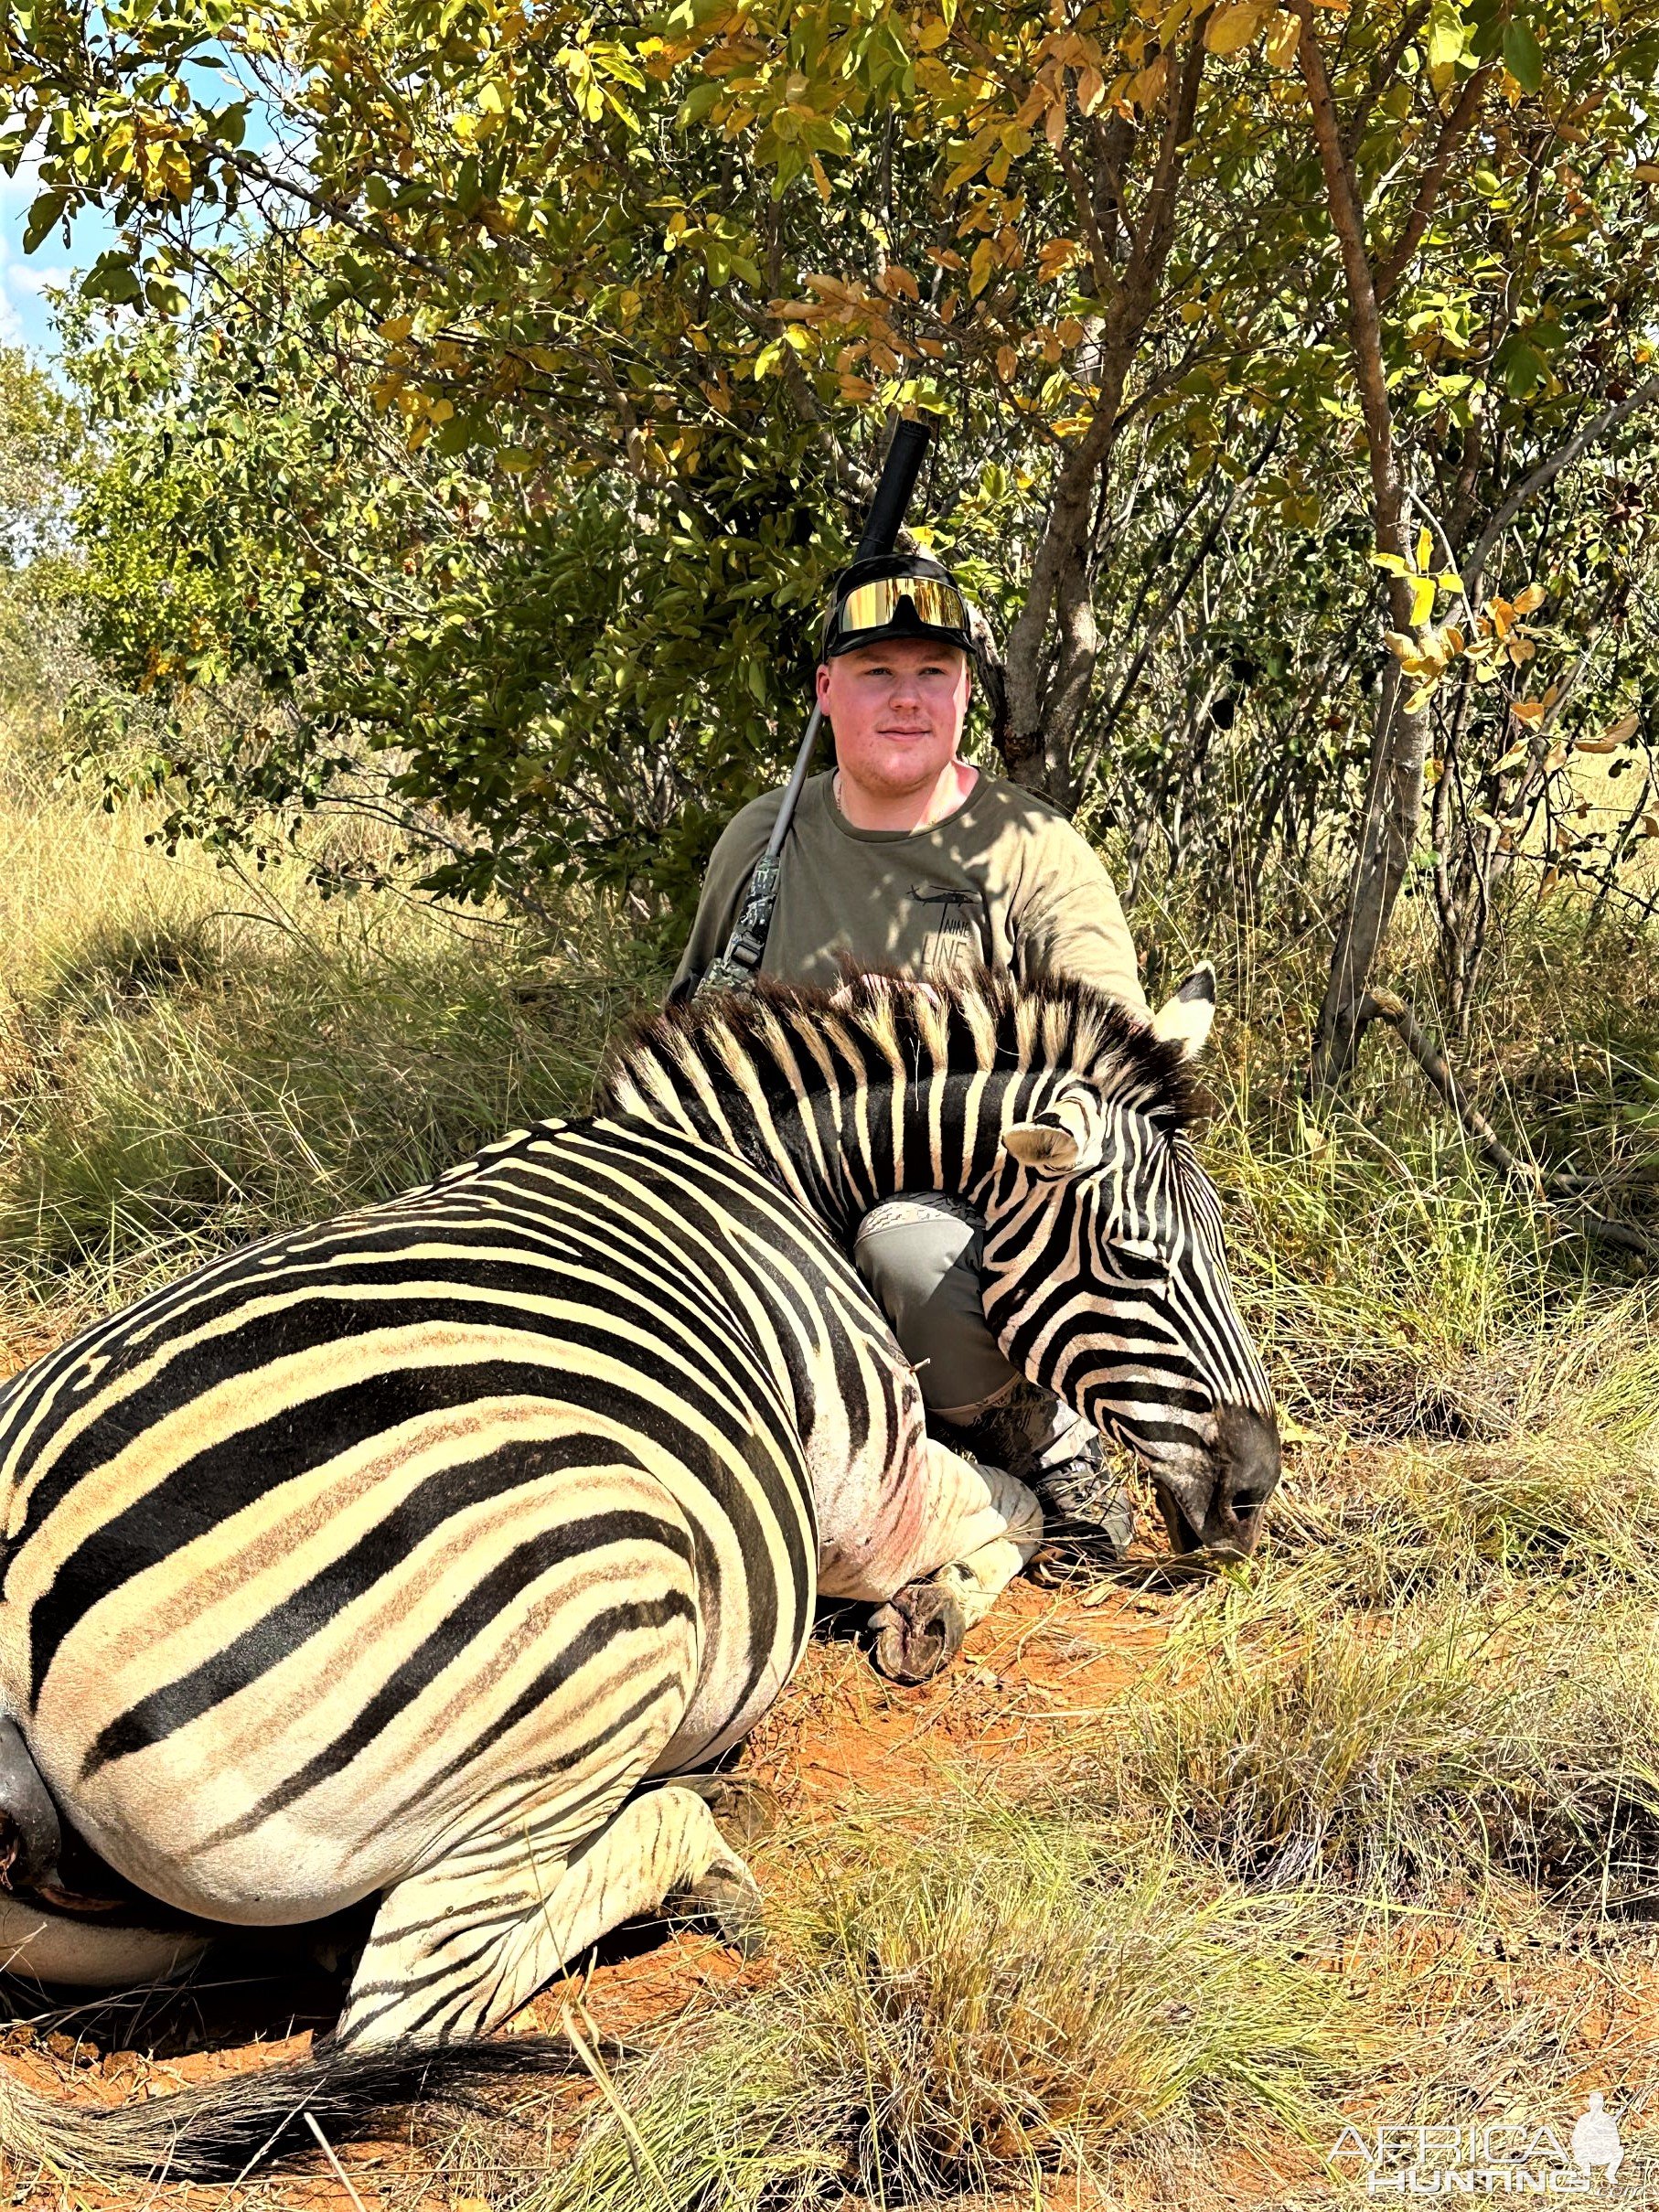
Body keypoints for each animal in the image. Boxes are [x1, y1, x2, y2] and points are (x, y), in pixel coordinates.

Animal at [0, 966, 1278, 2175]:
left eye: (1223, 1237)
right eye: (1134, 1261)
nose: (1255, 1489)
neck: (774, 1173)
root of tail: (18, 1616)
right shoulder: (869, 1496)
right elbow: (1002, 1508)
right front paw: (936, 1610)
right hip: (602, 1617)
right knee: (400, 2008)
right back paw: (694, 1852)